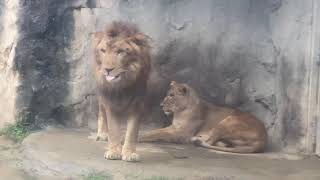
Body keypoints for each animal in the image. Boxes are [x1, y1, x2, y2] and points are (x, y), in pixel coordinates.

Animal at [93, 21, 151, 162]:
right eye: (103, 50)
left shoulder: (137, 103)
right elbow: (113, 128)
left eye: (120, 52)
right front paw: (114, 152)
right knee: (101, 112)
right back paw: (103, 134)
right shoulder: (109, 100)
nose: (108, 69)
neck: (121, 86)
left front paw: (129, 153)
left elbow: (132, 131)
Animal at [140, 81, 268, 153]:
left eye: (171, 95)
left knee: (209, 142)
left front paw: (140, 138)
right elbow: (157, 131)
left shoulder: (183, 133)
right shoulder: (174, 127)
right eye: (168, 94)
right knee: (219, 142)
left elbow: (161, 134)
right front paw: (143, 134)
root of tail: (263, 139)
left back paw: (196, 140)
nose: (161, 105)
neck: (180, 113)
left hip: (228, 121)